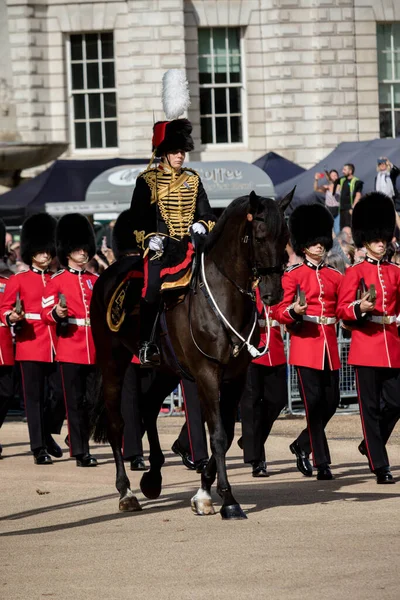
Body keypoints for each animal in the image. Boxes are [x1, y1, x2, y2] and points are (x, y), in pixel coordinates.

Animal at [91, 190, 294, 516]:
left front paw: (203, 492)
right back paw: (126, 492)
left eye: (285, 236)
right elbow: (219, 434)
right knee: (116, 423)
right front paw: (228, 499)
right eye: (260, 236)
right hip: (113, 361)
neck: (223, 296)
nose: (274, 294)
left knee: (148, 408)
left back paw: (153, 476)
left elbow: (225, 433)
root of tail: (106, 274)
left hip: (165, 370)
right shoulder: (207, 373)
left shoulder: (235, 376)